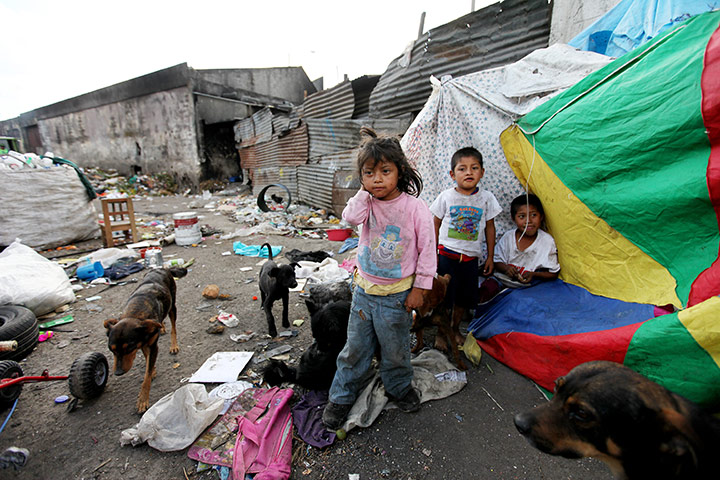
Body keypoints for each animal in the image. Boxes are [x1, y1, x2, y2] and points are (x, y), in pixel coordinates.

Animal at [105, 266, 188, 412]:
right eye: (111, 349)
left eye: (129, 348)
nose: (118, 372)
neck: (135, 313)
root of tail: (162, 267)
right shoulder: (144, 342)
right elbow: (147, 358)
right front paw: (153, 369)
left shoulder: (153, 345)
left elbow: (146, 376)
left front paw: (143, 400)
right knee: (162, 321)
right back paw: (162, 327)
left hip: (172, 306)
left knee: (173, 326)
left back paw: (173, 344)